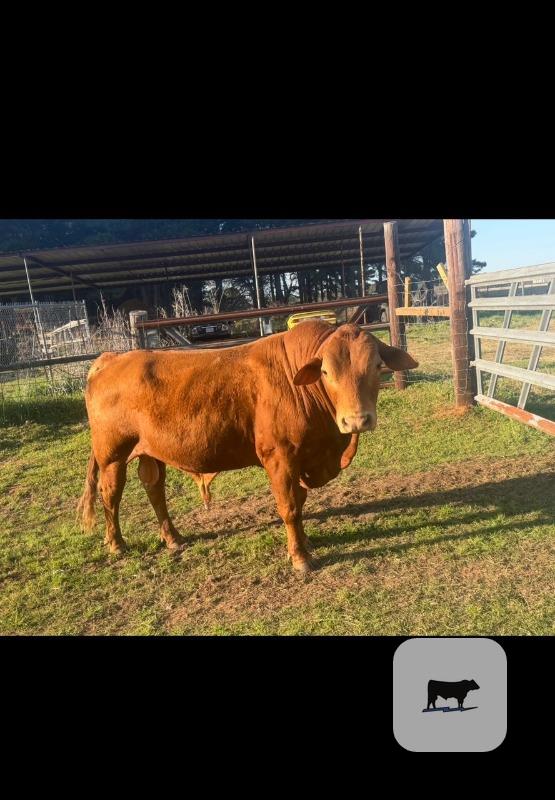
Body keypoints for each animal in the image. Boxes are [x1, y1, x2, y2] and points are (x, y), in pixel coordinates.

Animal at [77, 320, 417, 572]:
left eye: (377, 365)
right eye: (325, 371)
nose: (356, 420)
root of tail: (112, 358)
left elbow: (300, 502)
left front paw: (305, 544)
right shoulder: (279, 457)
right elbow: (289, 507)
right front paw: (300, 558)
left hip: (151, 452)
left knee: (155, 491)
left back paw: (173, 537)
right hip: (112, 455)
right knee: (111, 495)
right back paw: (116, 543)